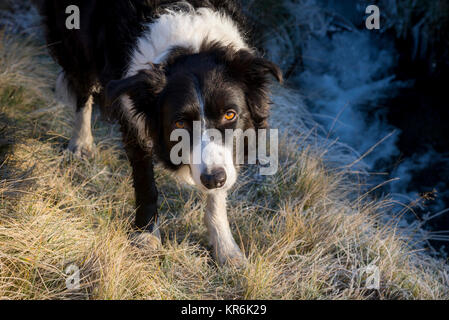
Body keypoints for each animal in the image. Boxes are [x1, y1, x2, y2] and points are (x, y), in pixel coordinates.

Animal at [36, 0, 280, 264]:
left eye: (230, 115)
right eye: (180, 124)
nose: (214, 179)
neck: (190, 43)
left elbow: (217, 194)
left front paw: (226, 249)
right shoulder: (134, 116)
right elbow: (146, 182)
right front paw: (146, 236)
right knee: (82, 84)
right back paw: (81, 144)